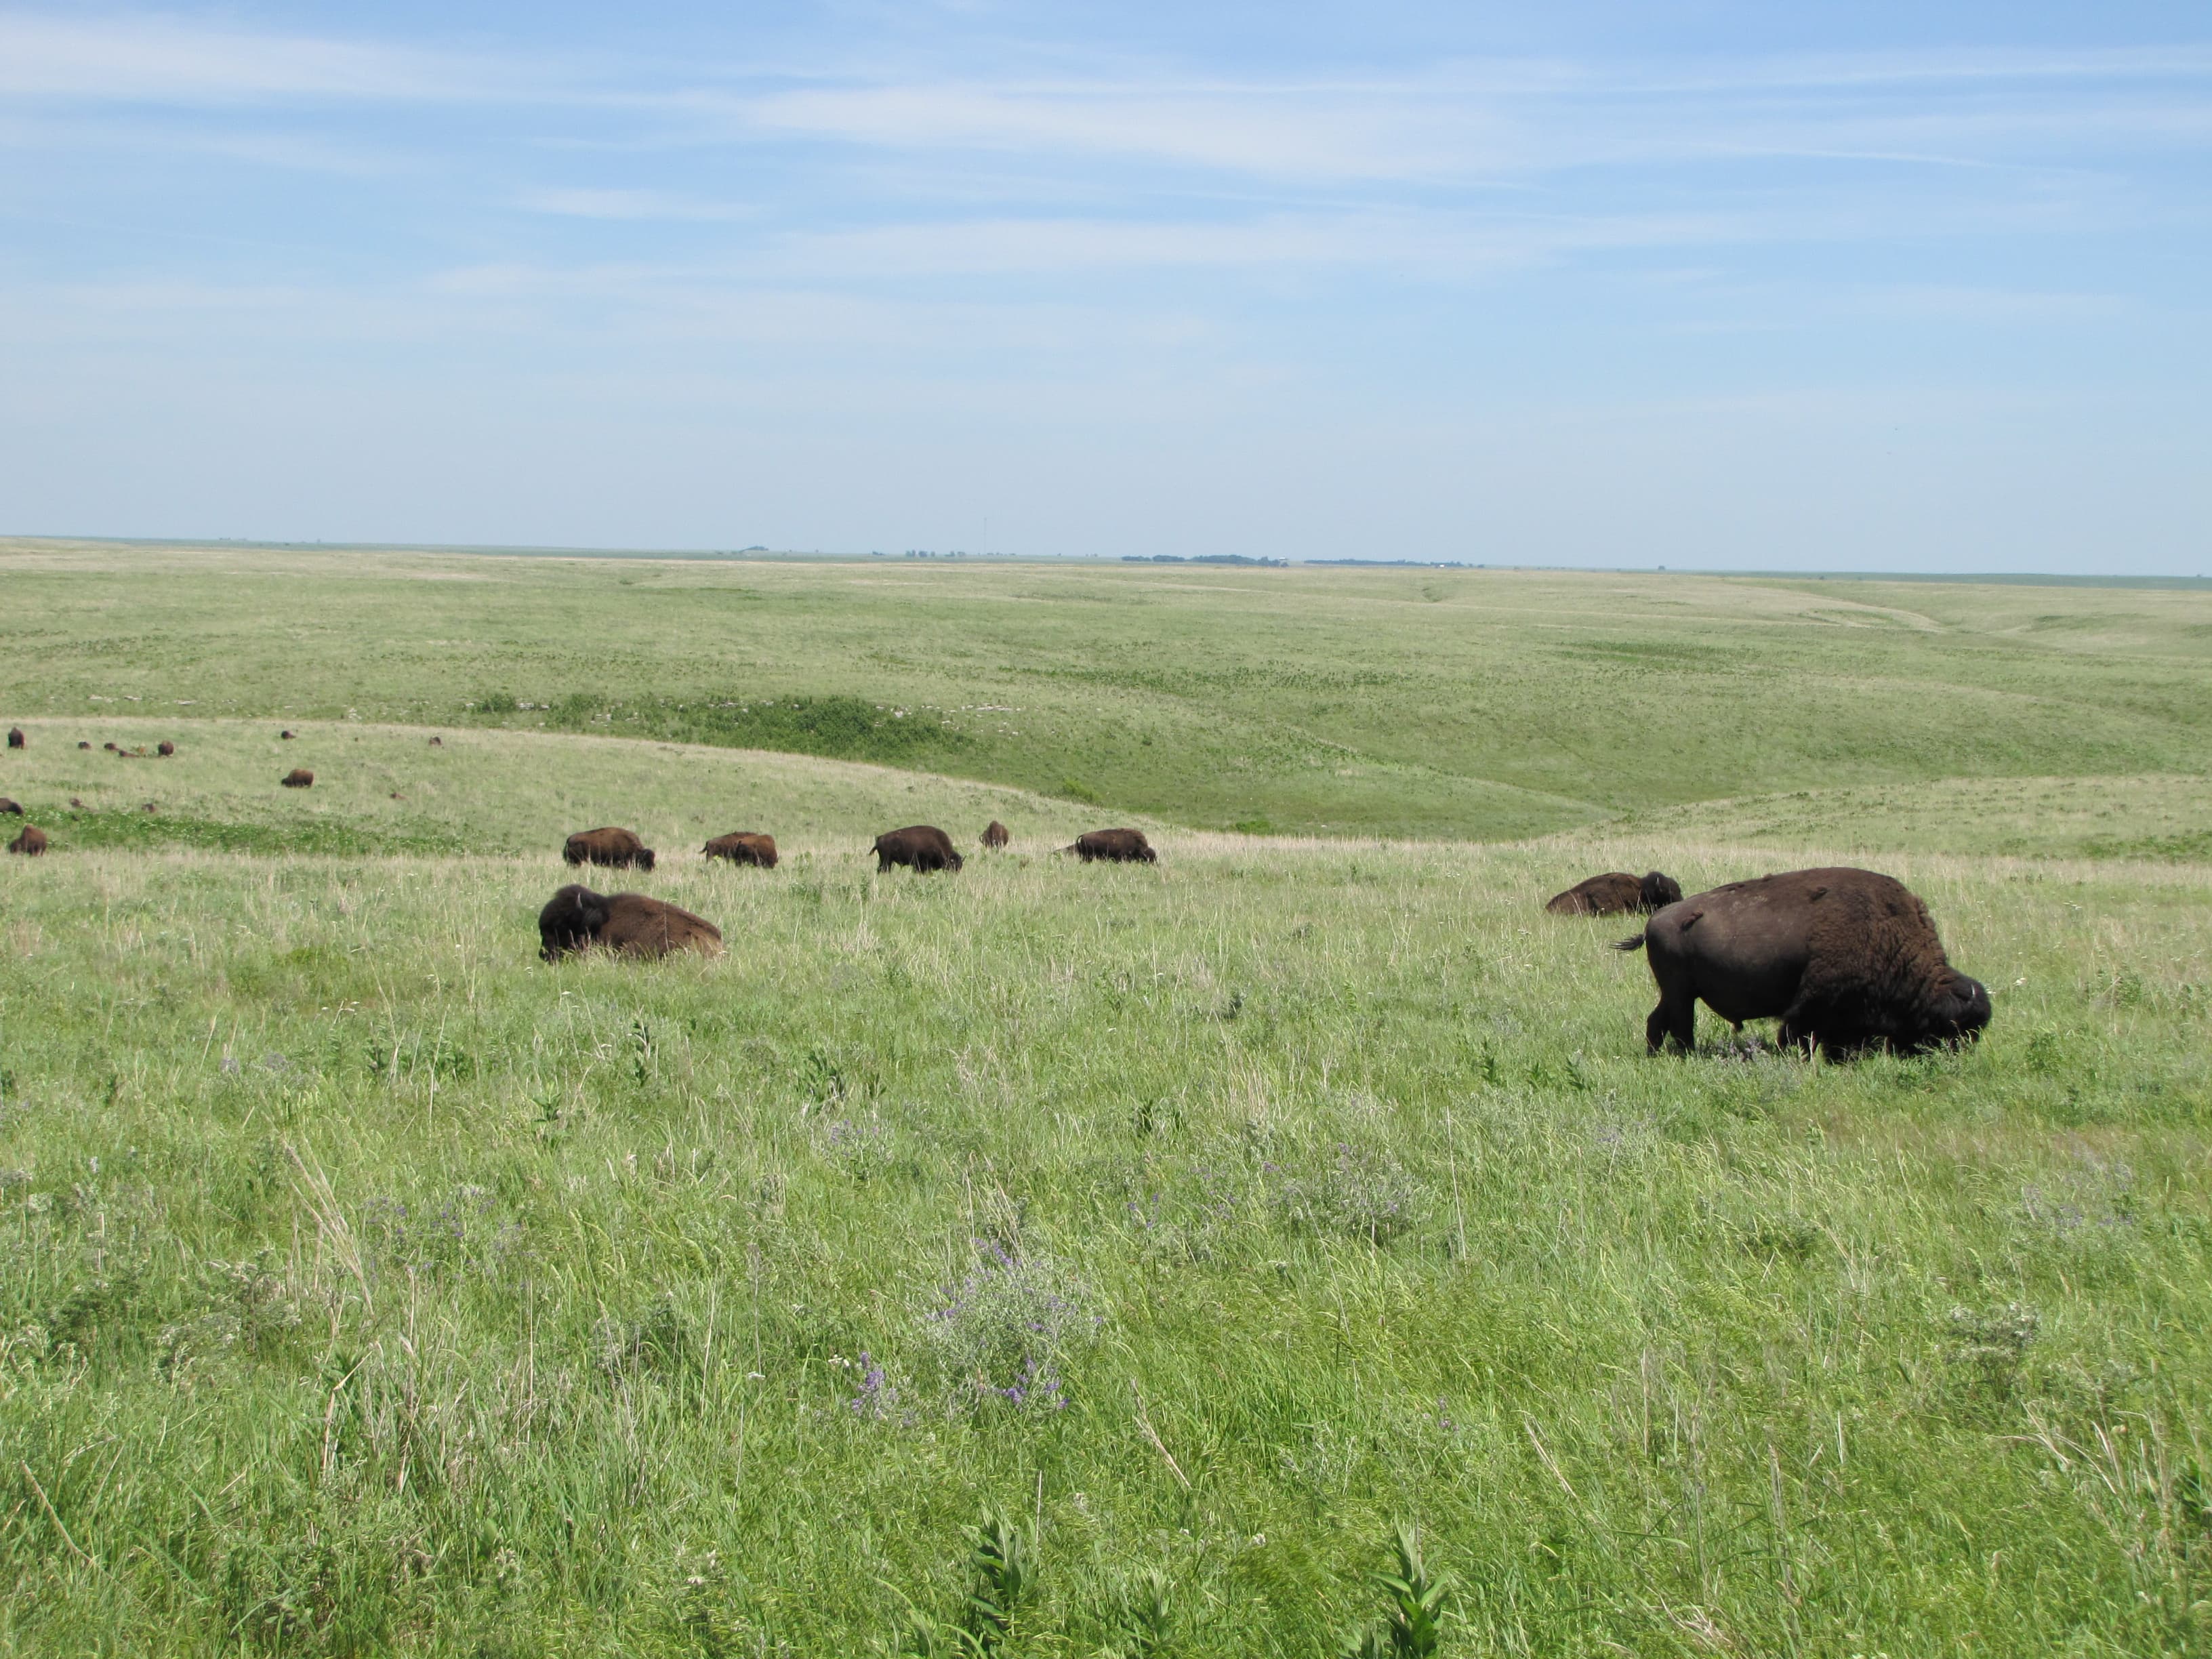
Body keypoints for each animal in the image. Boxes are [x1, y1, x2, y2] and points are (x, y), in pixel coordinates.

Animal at [873, 825, 962, 872]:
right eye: (952, 866)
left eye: (960, 866)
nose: (954, 875)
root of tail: (880, 838)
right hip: (886, 861)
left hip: (887, 862)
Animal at [1616, 866, 1990, 1059]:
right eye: (1953, 1030)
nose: (1954, 1060)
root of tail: (1655, 921)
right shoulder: (1815, 1002)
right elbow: (1798, 1031)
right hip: (1681, 994)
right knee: (1681, 1025)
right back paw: (1687, 1055)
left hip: (1675, 993)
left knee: (1658, 1021)